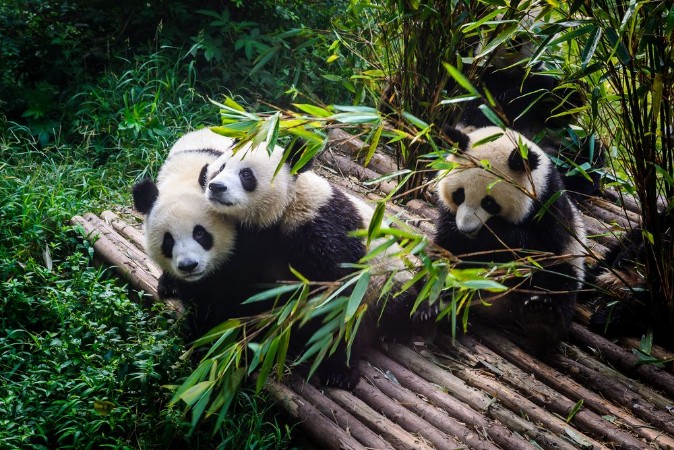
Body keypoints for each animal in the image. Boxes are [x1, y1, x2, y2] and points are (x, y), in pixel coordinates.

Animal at [199, 139, 429, 388]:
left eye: (246, 175)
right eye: (221, 167)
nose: (216, 187)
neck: (286, 207)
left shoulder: (322, 229)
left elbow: (338, 299)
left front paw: (340, 372)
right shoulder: (251, 242)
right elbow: (239, 287)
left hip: (390, 278)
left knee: (400, 302)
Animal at [435, 125, 587, 354]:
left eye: (489, 203)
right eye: (459, 195)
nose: (467, 228)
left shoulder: (549, 207)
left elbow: (536, 247)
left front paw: (493, 233)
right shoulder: (448, 217)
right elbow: (446, 246)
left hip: (568, 262)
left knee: (558, 280)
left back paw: (542, 321)